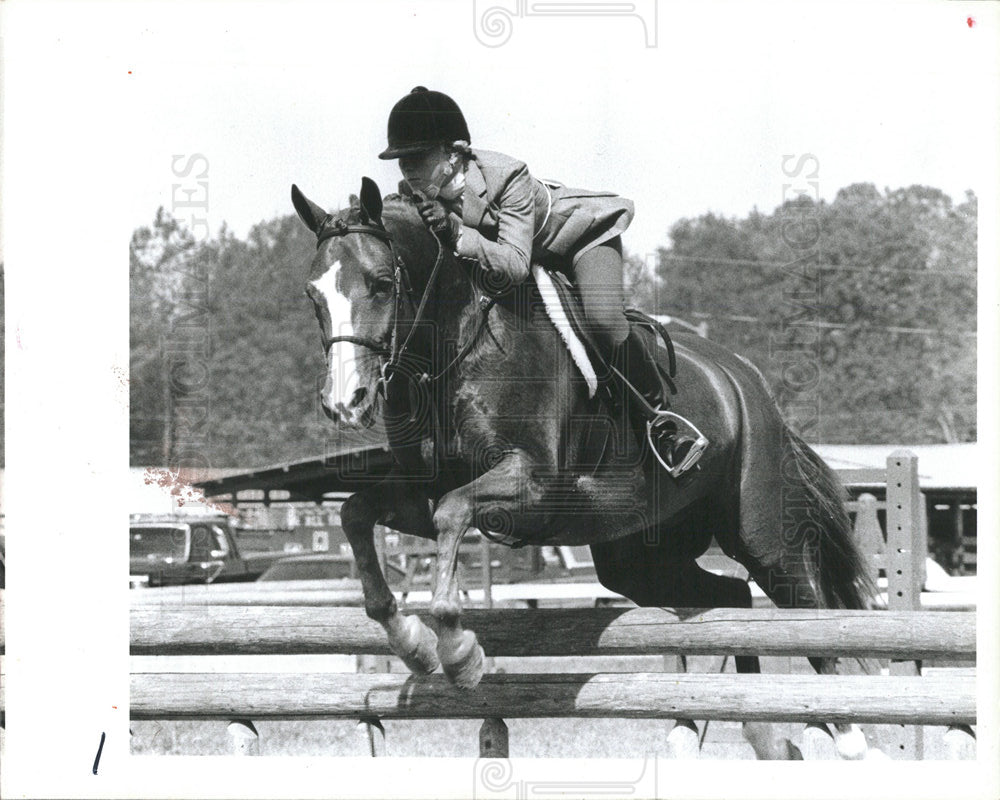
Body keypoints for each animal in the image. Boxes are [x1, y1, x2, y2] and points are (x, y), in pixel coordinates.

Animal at [290, 178, 876, 760]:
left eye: (381, 283)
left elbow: (452, 514)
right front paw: (412, 645)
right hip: (637, 557)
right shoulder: (420, 491)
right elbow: (356, 513)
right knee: (727, 600)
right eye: (312, 296)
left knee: (811, 613)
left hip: (761, 536)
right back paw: (737, 726)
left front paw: (458, 653)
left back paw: (849, 736)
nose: (345, 402)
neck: (457, 344)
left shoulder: (533, 485)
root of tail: (748, 381)